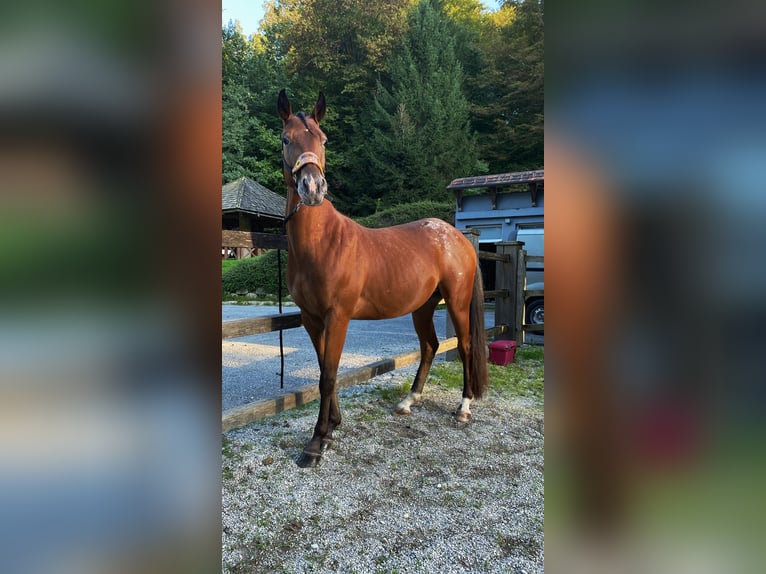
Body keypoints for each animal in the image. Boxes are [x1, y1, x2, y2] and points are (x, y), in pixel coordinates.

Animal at [277, 89, 488, 467]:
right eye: (286, 139)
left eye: (323, 139)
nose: (312, 187)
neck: (322, 242)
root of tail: (457, 236)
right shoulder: (311, 318)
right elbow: (324, 369)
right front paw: (332, 427)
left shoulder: (338, 317)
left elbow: (328, 376)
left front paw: (316, 443)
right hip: (423, 306)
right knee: (430, 346)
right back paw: (409, 401)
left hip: (458, 302)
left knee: (463, 347)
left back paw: (463, 408)